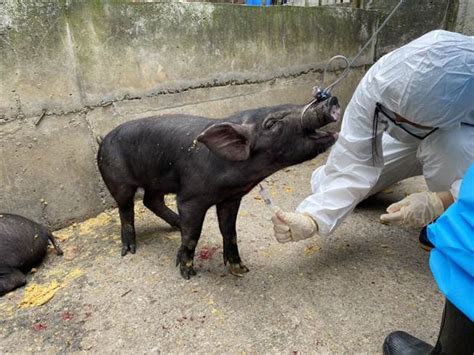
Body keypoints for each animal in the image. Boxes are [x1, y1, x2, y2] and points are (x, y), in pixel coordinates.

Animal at [97, 96, 340, 278]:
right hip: (117, 179)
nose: (331, 100)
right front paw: (188, 273)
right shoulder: (190, 198)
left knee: (151, 200)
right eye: (271, 123)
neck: (239, 180)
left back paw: (176, 225)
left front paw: (241, 269)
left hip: (156, 179)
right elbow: (193, 234)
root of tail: (102, 141)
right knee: (126, 208)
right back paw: (129, 250)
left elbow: (230, 231)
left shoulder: (231, 198)